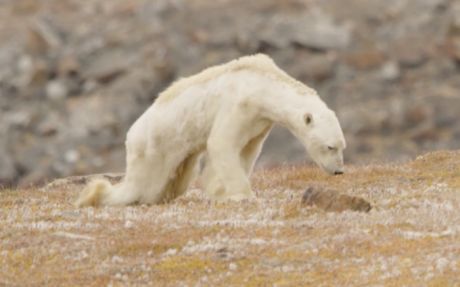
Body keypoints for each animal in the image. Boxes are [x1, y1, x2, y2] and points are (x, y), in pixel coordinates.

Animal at [76, 54, 344, 207]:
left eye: (343, 146)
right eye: (330, 146)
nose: (339, 171)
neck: (262, 84)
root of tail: (131, 136)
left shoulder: (259, 121)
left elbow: (246, 151)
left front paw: (220, 191)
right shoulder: (239, 104)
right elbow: (222, 143)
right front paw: (242, 195)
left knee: (177, 180)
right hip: (153, 149)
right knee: (142, 186)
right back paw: (96, 195)